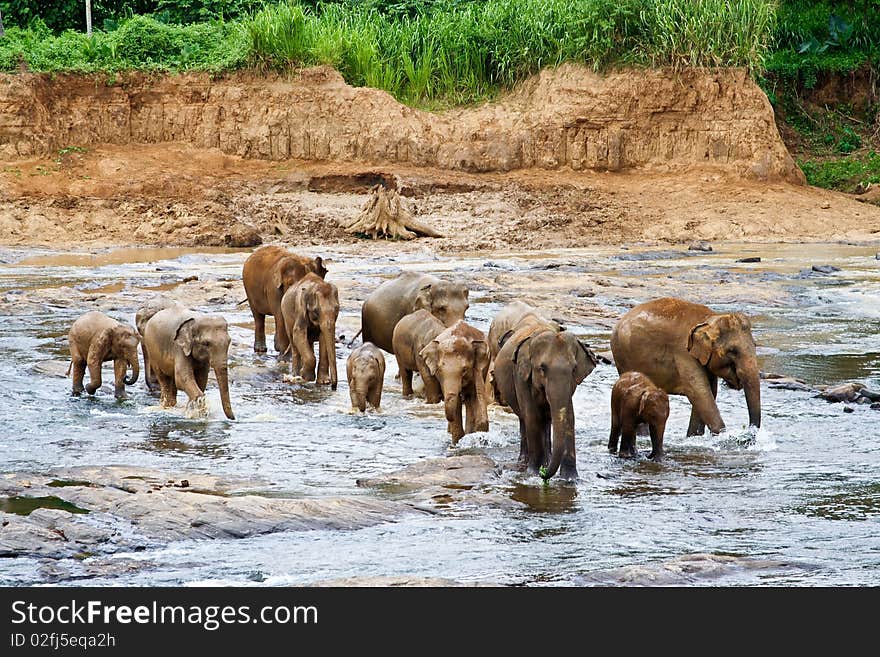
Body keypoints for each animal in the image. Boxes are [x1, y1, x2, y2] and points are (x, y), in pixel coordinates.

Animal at [496, 316, 600, 480]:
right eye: (542, 368)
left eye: (574, 369)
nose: (543, 474)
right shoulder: (520, 375)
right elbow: (532, 415)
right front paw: (533, 473)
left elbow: (569, 415)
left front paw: (570, 478)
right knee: (524, 418)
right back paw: (526, 461)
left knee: (546, 420)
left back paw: (547, 460)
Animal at [608, 298, 760, 436]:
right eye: (732, 351)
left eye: (755, 345)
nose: (750, 432)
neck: (710, 319)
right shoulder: (684, 353)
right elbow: (698, 391)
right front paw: (723, 436)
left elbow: (709, 391)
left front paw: (694, 436)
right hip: (623, 356)